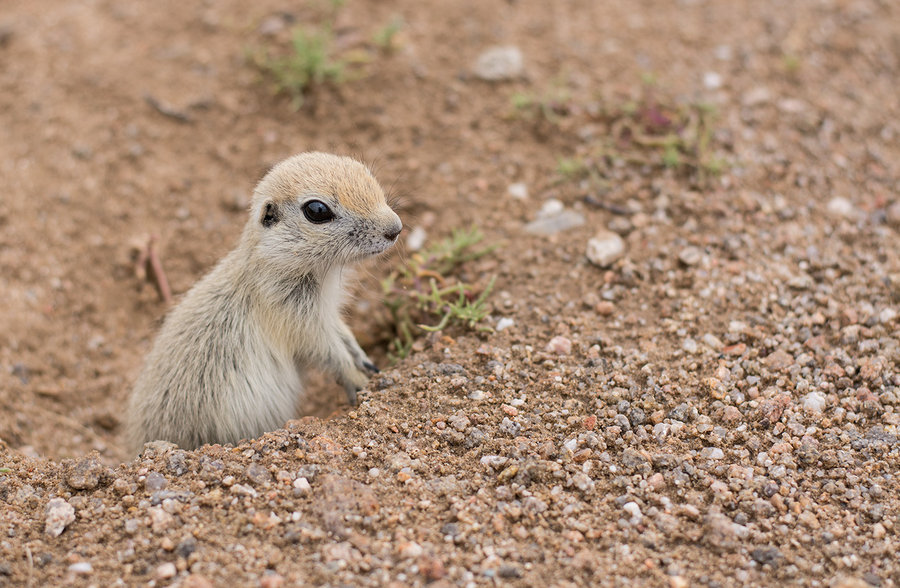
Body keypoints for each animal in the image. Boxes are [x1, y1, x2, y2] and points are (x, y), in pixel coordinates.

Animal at [126, 152, 400, 450]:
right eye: (317, 210)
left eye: (365, 172)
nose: (395, 228)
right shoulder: (297, 318)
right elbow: (328, 352)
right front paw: (360, 381)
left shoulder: (324, 313)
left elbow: (341, 334)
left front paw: (365, 360)